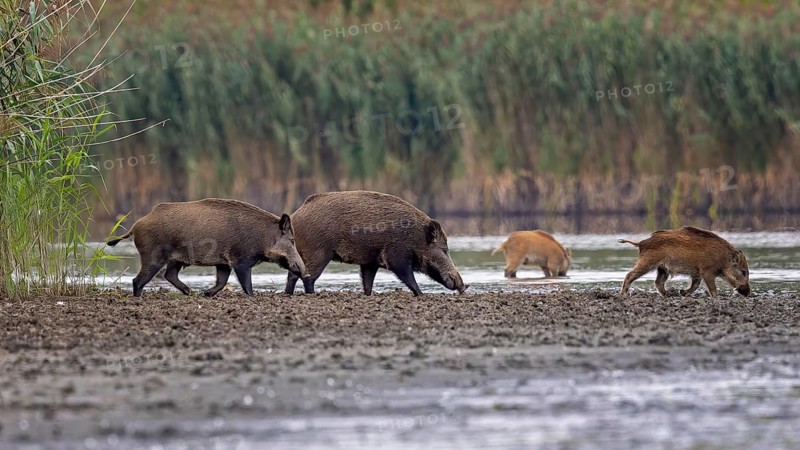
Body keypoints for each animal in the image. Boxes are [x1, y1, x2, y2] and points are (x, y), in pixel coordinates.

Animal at [106, 198, 308, 297]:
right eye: (292, 240)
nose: (305, 272)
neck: (263, 237)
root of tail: (136, 225)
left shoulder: (224, 263)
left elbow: (222, 280)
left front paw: (206, 294)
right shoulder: (241, 260)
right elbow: (245, 282)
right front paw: (252, 297)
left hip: (176, 259)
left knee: (169, 274)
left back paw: (191, 293)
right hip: (152, 256)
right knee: (139, 280)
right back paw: (138, 298)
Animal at [284, 190, 468, 296]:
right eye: (444, 250)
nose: (463, 286)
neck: (416, 238)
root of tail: (295, 216)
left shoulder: (369, 262)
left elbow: (367, 280)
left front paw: (368, 294)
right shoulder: (396, 255)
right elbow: (407, 276)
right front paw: (421, 294)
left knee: (293, 275)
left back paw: (288, 294)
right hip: (319, 252)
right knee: (308, 277)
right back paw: (311, 294)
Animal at [618, 226, 750, 297]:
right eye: (743, 271)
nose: (748, 293)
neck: (723, 259)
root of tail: (641, 243)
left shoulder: (697, 273)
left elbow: (695, 285)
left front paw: (682, 293)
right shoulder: (707, 271)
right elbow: (711, 287)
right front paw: (715, 298)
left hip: (662, 269)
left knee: (658, 282)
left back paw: (668, 294)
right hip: (648, 262)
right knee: (630, 275)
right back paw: (624, 294)